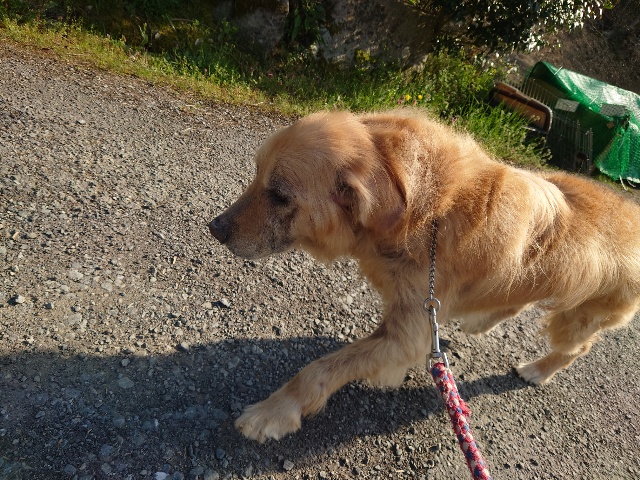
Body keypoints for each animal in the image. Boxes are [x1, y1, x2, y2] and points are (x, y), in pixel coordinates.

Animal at [209, 109, 640, 443]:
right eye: (256, 172)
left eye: (279, 196)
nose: (214, 228)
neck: (425, 211)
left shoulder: (408, 334)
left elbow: (319, 369)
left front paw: (274, 412)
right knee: (514, 302)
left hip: (579, 317)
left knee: (576, 347)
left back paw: (537, 370)